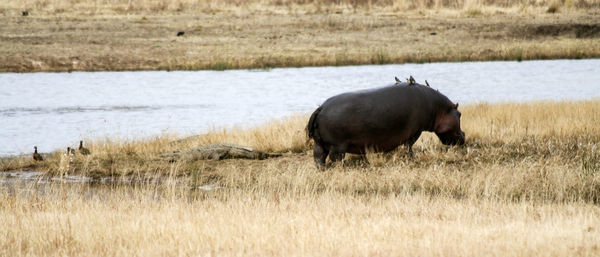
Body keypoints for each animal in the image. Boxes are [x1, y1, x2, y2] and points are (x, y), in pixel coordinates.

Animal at [308, 79, 466, 169]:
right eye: (460, 114)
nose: (464, 136)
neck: (439, 108)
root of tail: (321, 107)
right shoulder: (416, 130)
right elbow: (409, 145)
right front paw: (411, 158)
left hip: (320, 144)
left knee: (318, 157)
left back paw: (322, 169)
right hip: (337, 146)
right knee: (335, 159)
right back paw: (341, 168)